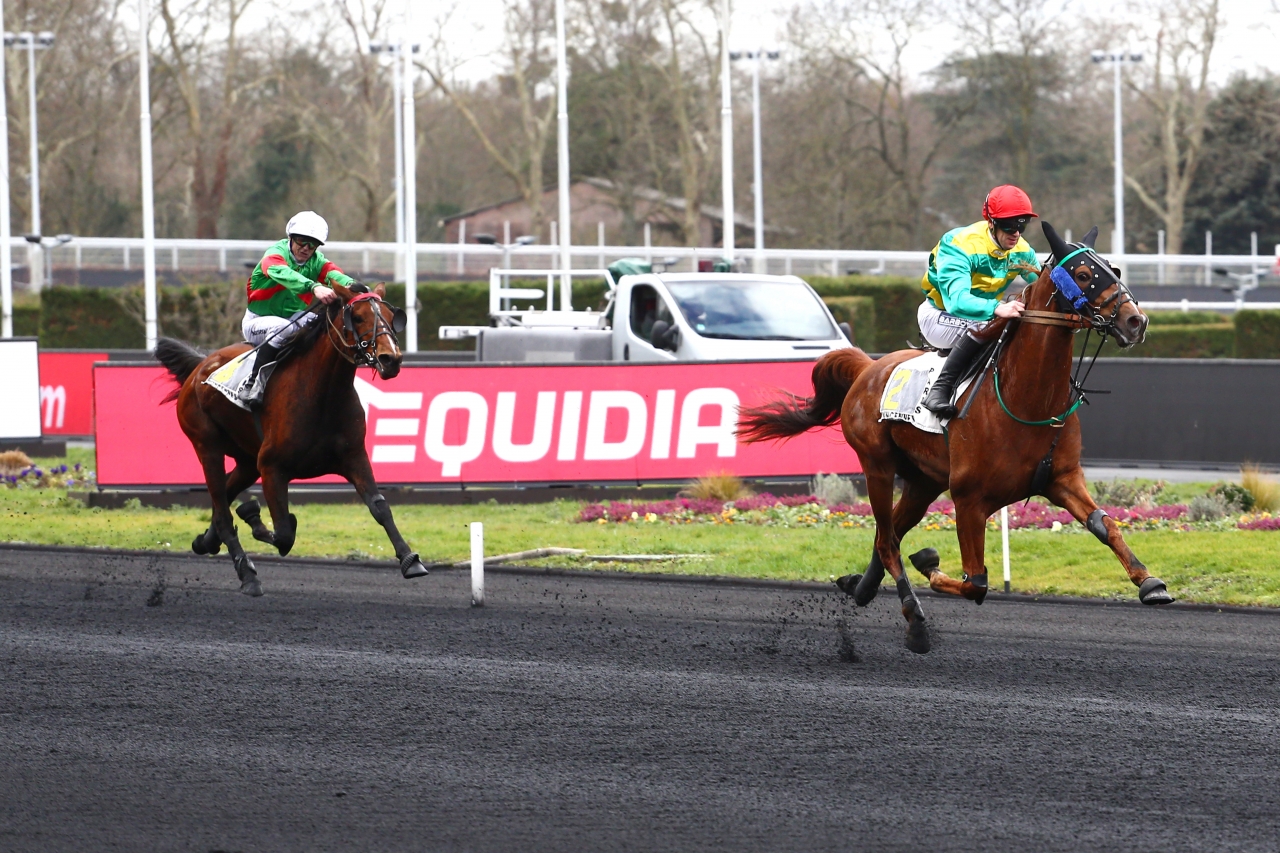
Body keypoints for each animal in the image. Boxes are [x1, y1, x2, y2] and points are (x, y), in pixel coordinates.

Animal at [154, 282, 432, 596]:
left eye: (391, 316)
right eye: (358, 317)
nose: (391, 359)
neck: (322, 394)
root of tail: (200, 367)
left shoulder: (354, 457)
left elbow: (380, 506)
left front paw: (410, 560)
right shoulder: (272, 467)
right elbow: (284, 533)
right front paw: (253, 516)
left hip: (247, 460)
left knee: (223, 493)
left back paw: (207, 541)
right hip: (207, 446)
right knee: (223, 512)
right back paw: (247, 575)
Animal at [737, 221, 1171, 654]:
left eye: (1114, 268)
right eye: (1082, 274)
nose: (1136, 322)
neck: (1026, 397)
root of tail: (867, 367)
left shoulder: (1061, 478)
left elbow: (1106, 525)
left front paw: (1150, 582)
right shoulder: (969, 499)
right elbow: (975, 583)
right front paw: (928, 563)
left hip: (923, 481)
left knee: (887, 534)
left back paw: (859, 587)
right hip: (877, 466)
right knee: (888, 541)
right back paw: (914, 621)